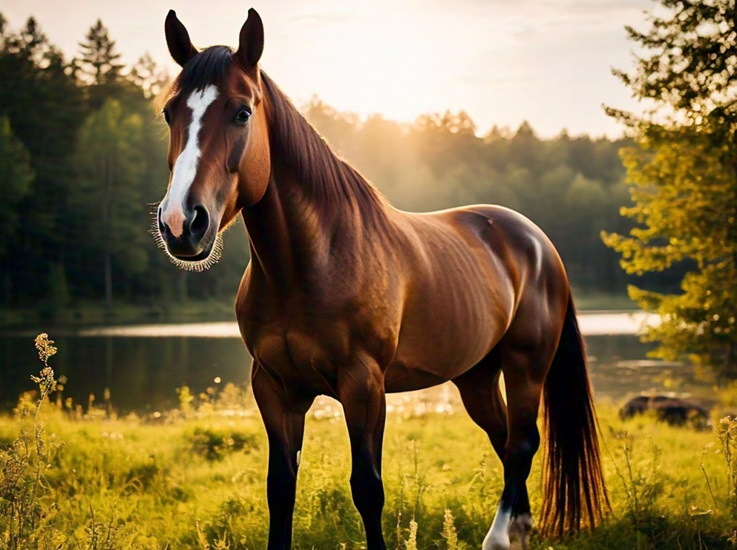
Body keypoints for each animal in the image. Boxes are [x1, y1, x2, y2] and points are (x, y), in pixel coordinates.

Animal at [154, 8, 604, 550]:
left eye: (242, 112)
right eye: (169, 113)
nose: (182, 222)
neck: (308, 266)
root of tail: (537, 241)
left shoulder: (363, 384)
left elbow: (368, 488)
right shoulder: (275, 387)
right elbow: (280, 487)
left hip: (525, 366)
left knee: (520, 444)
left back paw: (501, 537)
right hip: (476, 376)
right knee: (504, 441)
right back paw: (516, 531)